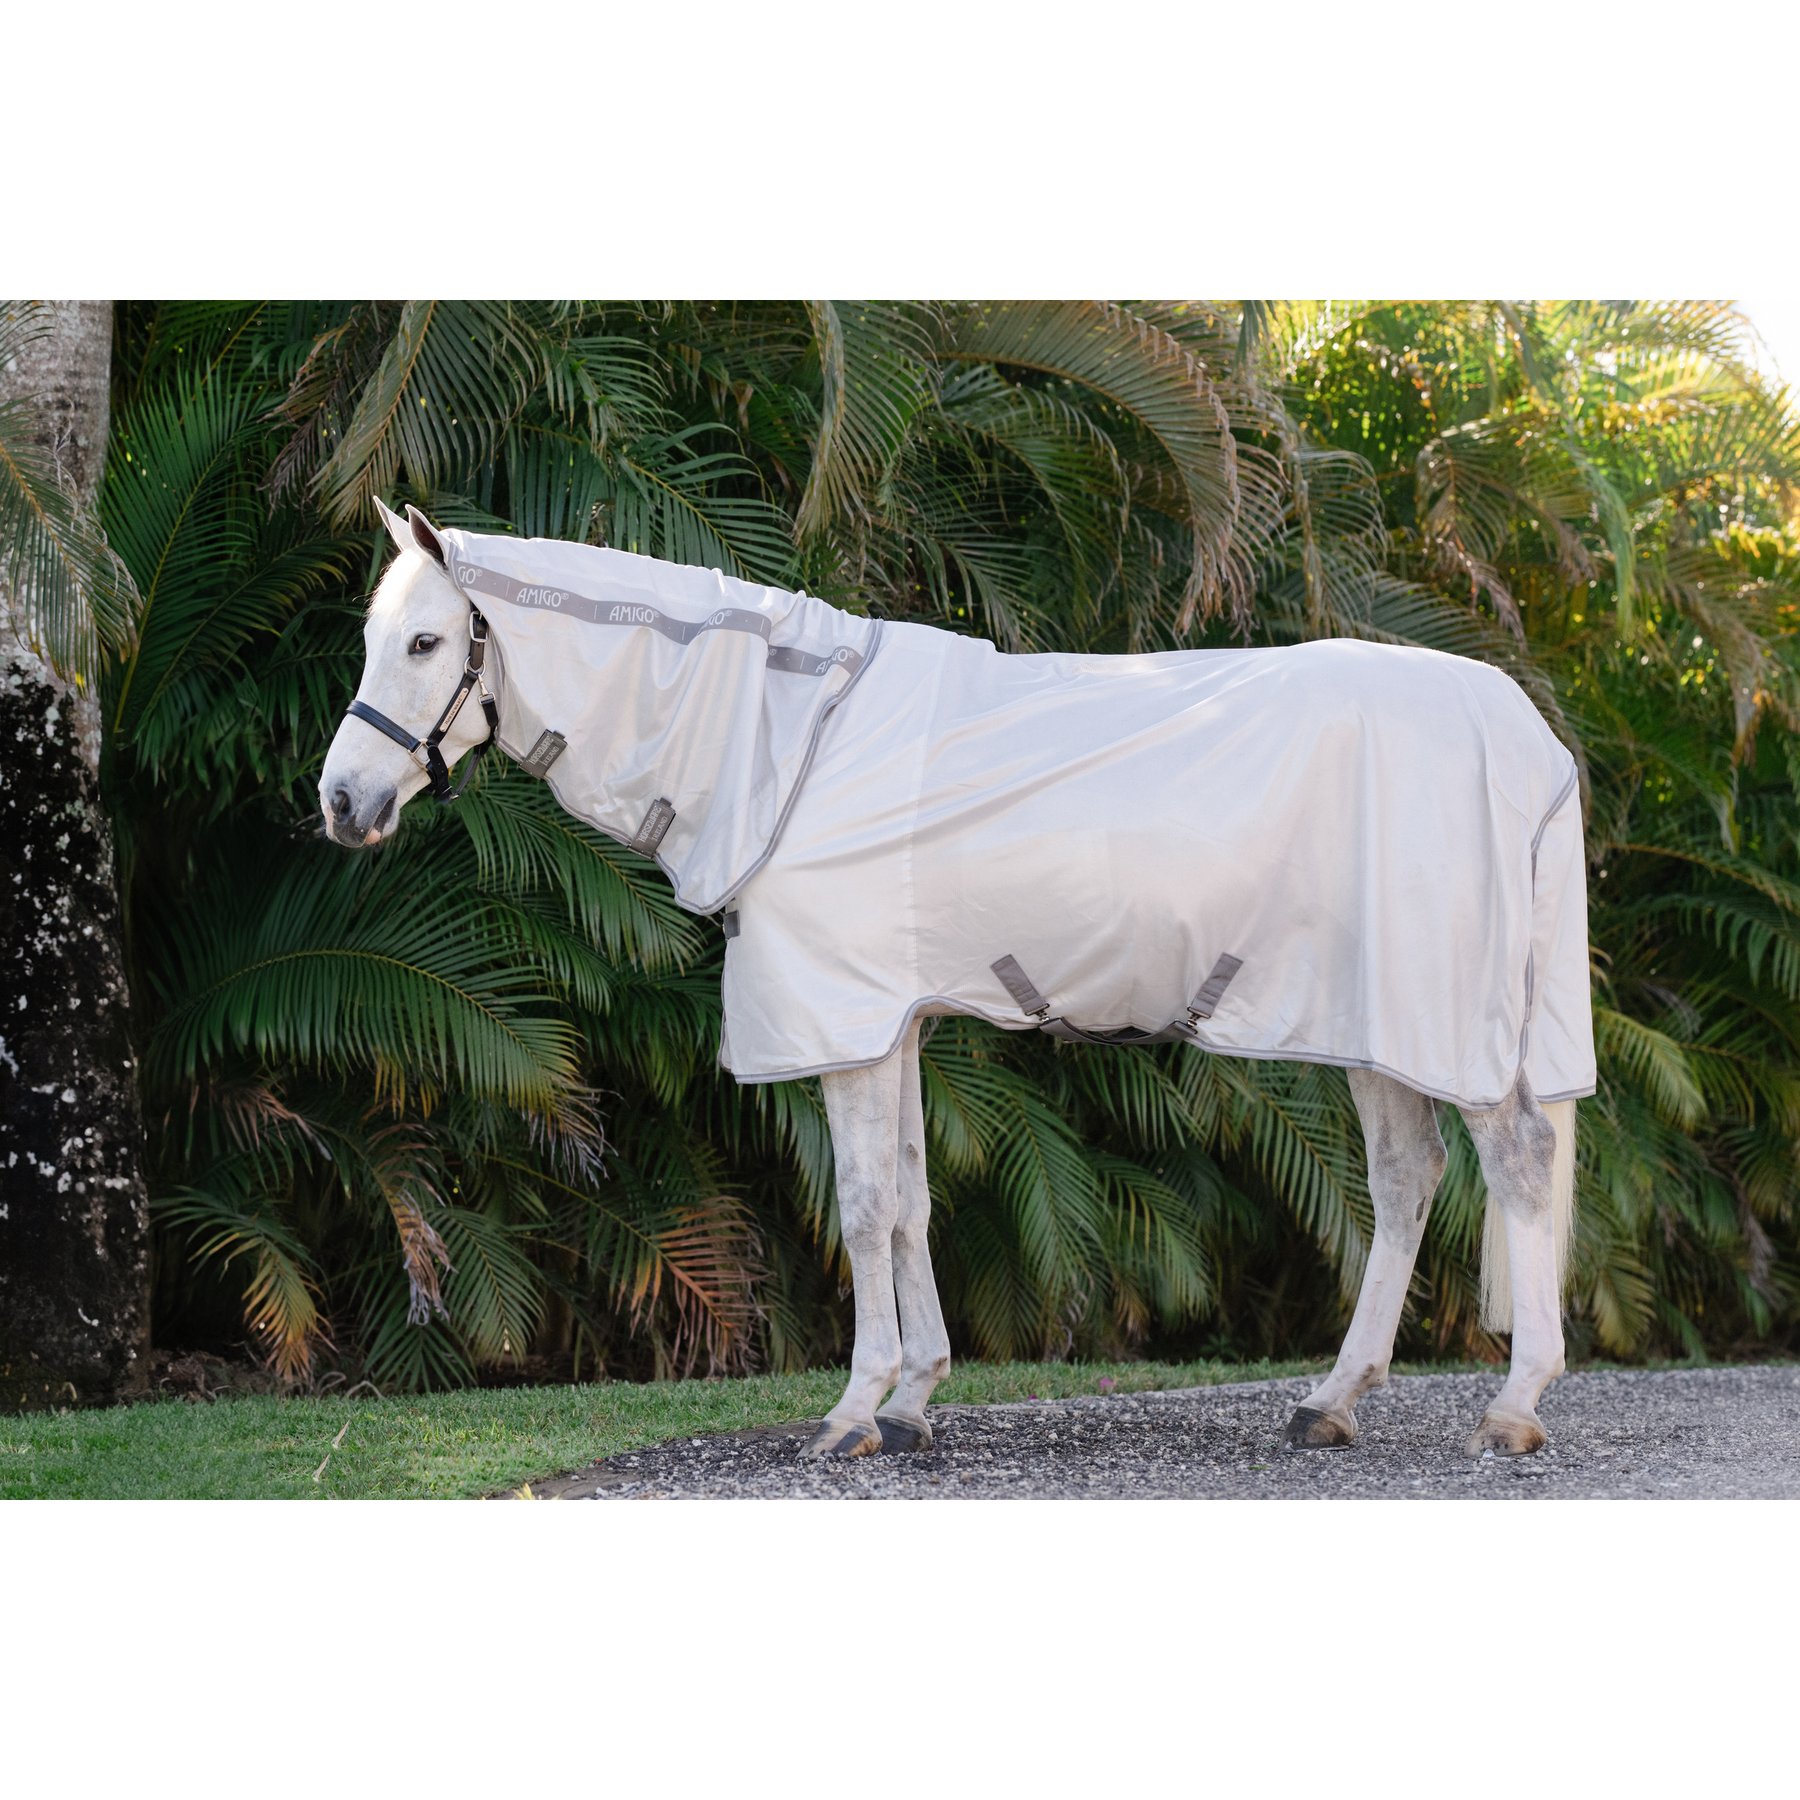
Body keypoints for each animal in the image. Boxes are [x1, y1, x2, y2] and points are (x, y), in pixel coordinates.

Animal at [320, 501, 1591, 1461]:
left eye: (426, 643)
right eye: (375, 638)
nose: (340, 802)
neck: (786, 740)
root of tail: (1529, 738)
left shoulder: (842, 1022)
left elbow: (863, 1205)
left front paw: (853, 1411)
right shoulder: (895, 1023)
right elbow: (913, 1199)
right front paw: (919, 1397)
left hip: (1442, 1018)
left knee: (1517, 1160)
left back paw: (1515, 1406)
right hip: (1378, 1021)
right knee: (1410, 1179)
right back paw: (1332, 1401)